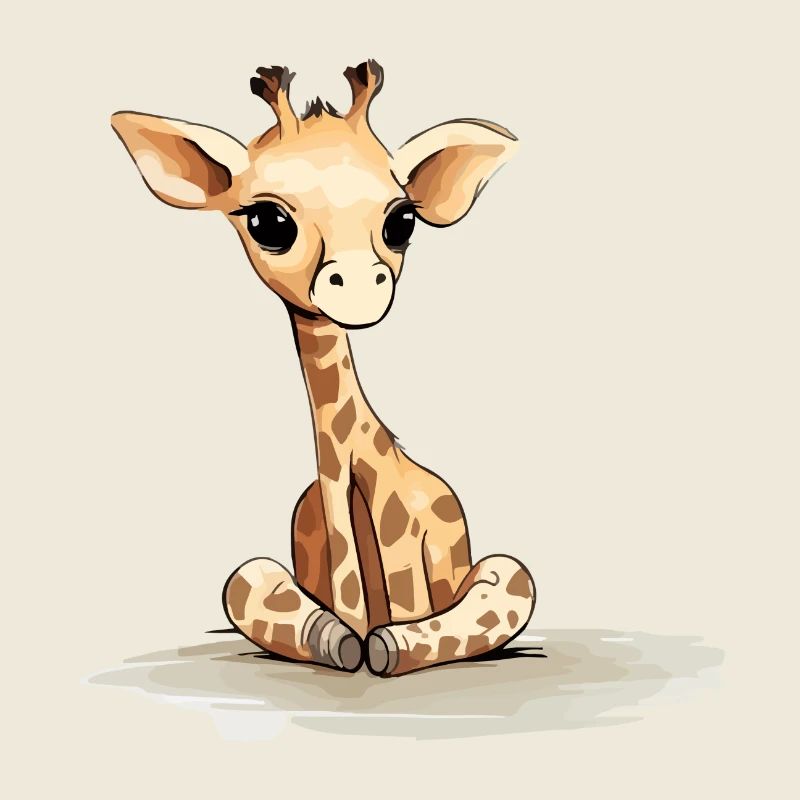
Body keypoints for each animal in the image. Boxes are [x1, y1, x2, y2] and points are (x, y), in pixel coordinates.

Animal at [111, 60, 535, 676]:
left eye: (402, 220)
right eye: (267, 220)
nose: (358, 285)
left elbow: (407, 626)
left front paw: (382, 643)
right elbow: (311, 616)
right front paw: (346, 639)